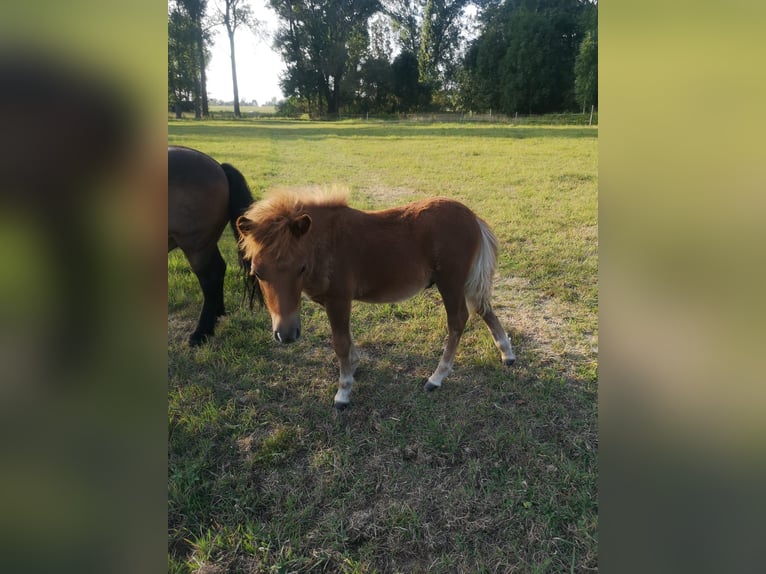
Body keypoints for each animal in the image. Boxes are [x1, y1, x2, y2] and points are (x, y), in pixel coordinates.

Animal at [169, 148, 260, 346]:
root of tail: (219, 167)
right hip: (207, 243)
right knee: (219, 269)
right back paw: (217, 314)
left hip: (197, 246)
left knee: (210, 277)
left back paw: (202, 332)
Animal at [237, 190, 520, 410]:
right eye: (257, 272)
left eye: (301, 268)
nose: (286, 335)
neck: (325, 243)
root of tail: (473, 217)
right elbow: (348, 340)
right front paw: (354, 366)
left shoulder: (339, 299)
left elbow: (340, 343)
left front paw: (343, 393)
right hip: (464, 281)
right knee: (484, 308)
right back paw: (507, 354)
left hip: (450, 281)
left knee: (458, 320)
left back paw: (436, 378)